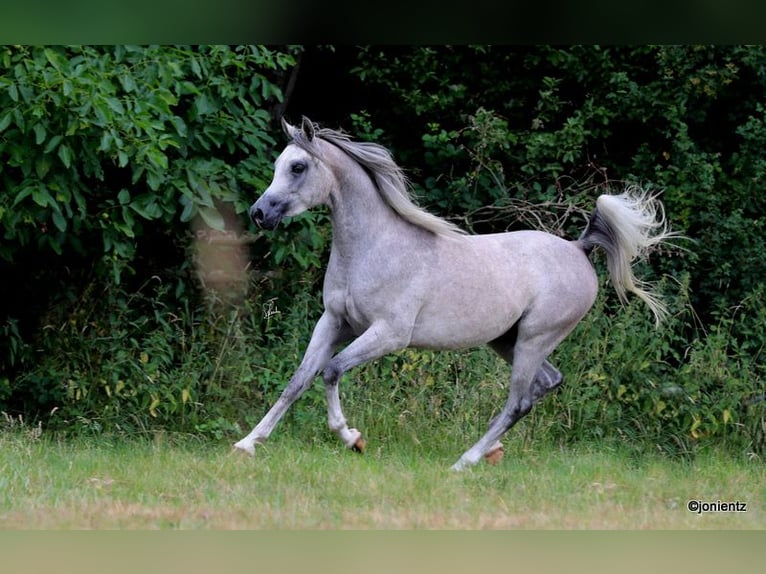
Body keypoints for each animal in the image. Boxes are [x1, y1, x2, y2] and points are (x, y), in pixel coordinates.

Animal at [234, 116, 674, 470]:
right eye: (278, 164)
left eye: (297, 166)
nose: (259, 213)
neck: (374, 247)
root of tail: (579, 249)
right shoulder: (334, 322)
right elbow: (298, 380)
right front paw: (248, 444)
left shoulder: (389, 334)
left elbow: (332, 370)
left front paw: (352, 438)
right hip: (508, 340)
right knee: (546, 383)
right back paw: (491, 451)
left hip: (535, 338)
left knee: (519, 401)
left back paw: (465, 461)